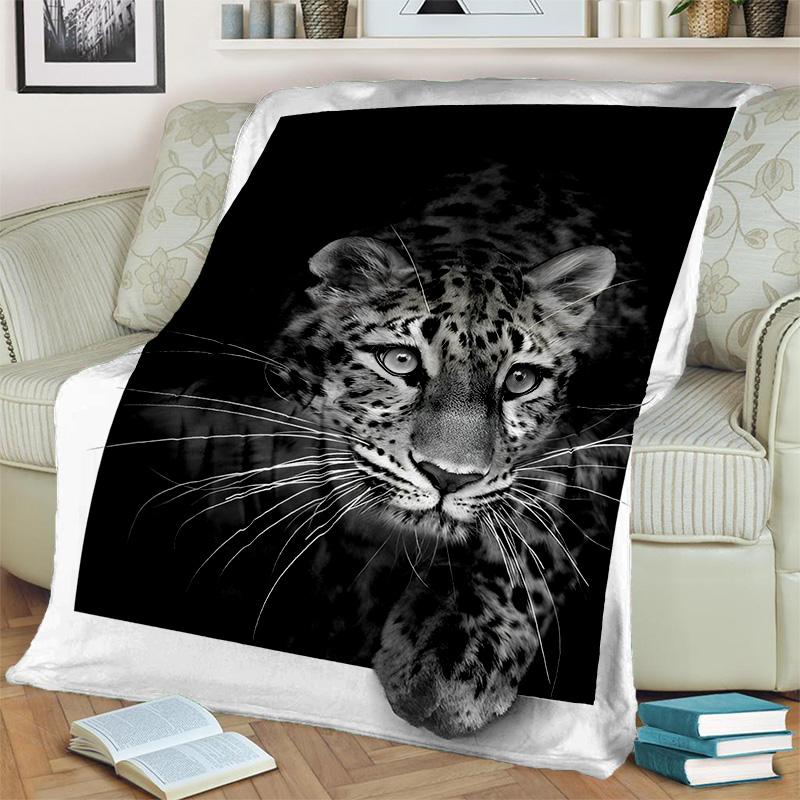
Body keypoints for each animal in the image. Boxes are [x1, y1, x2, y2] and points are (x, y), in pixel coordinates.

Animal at [265, 164, 642, 738]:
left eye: (521, 380)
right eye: (399, 361)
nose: (448, 477)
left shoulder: (610, 439)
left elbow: (537, 527)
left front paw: (453, 656)